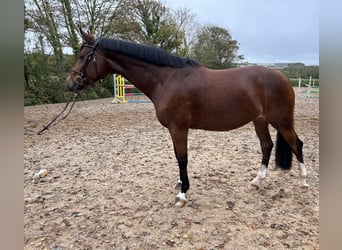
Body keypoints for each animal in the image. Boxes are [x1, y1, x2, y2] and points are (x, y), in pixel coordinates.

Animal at [65, 29, 308, 206]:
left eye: (84, 57)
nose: (70, 84)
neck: (167, 79)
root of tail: (283, 77)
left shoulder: (178, 128)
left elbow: (182, 158)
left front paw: (182, 194)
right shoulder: (175, 130)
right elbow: (177, 156)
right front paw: (181, 183)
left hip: (282, 121)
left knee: (297, 144)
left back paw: (304, 183)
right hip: (260, 120)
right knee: (267, 145)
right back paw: (257, 181)